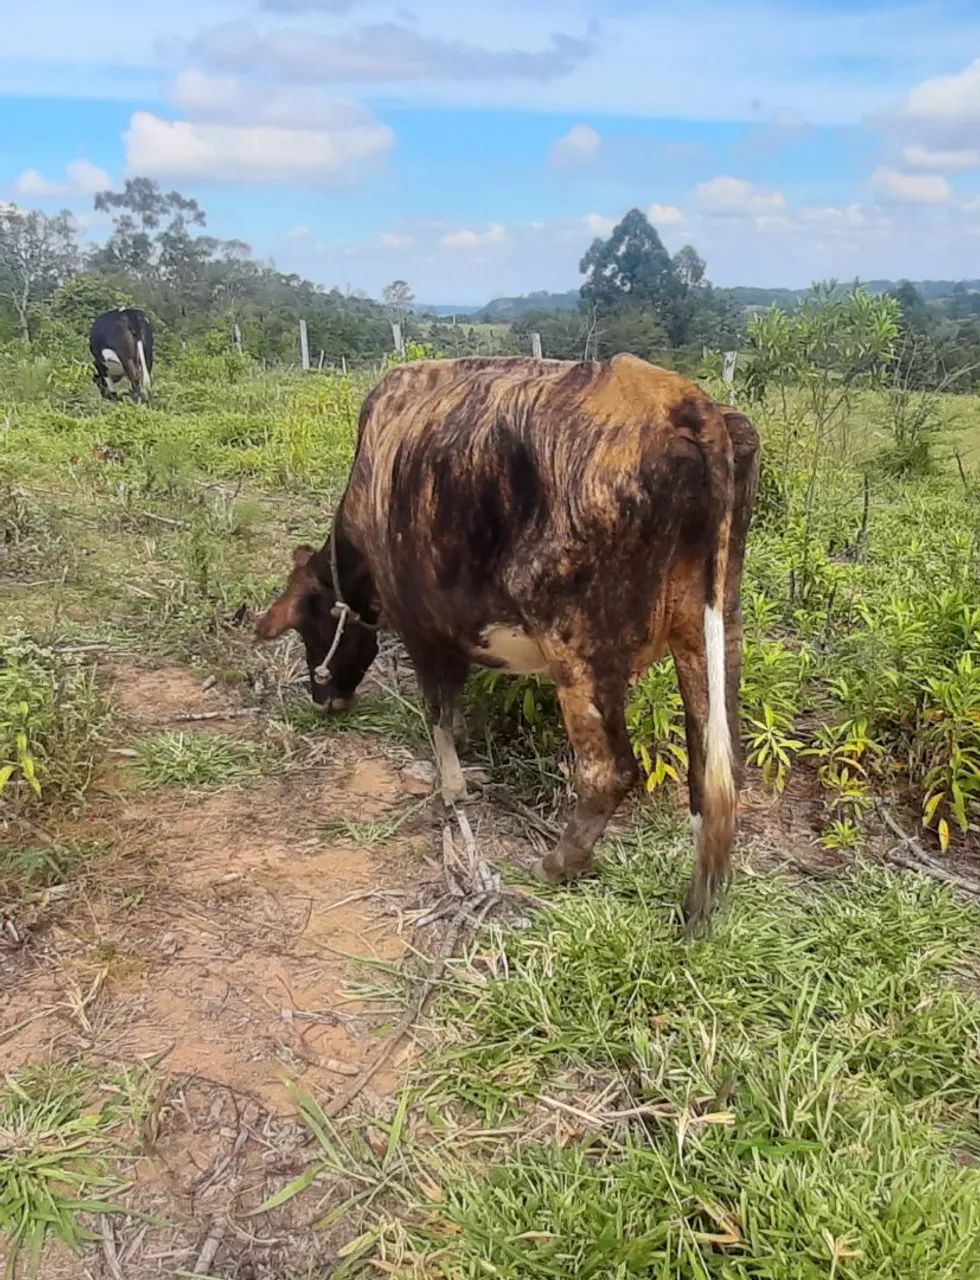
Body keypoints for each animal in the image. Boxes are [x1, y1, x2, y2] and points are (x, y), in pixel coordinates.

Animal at [255, 355, 760, 928]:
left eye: (310, 628)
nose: (324, 698)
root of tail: (684, 402)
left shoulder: (422, 626)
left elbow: (438, 713)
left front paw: (450, 789)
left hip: (576, 644)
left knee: (609, 771)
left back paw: (557, 864)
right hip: (712, 628)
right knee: (719, 766)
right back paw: (701, 902)